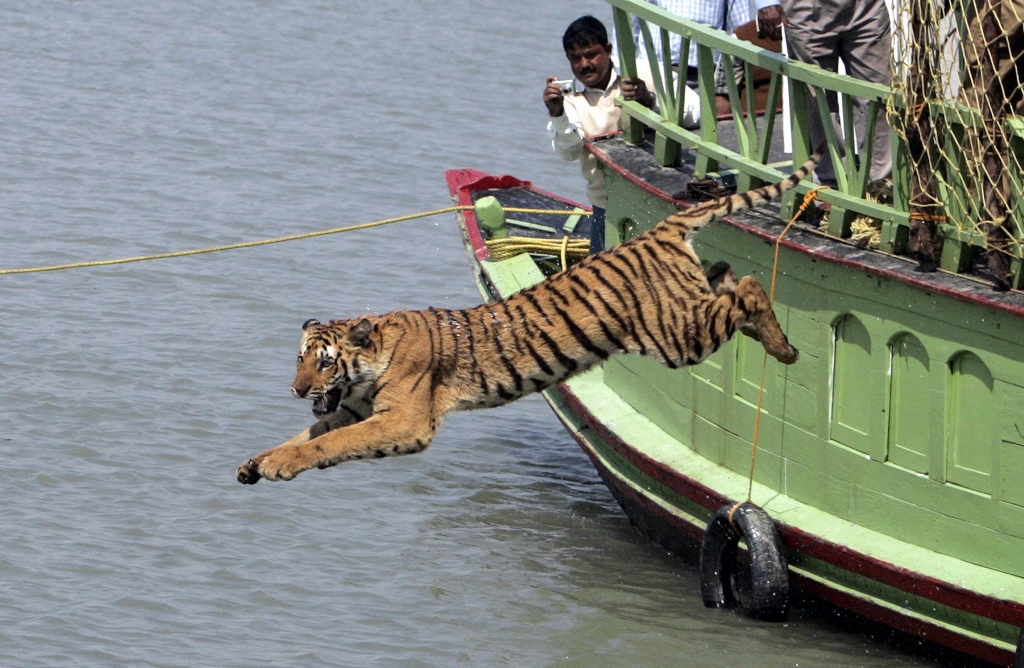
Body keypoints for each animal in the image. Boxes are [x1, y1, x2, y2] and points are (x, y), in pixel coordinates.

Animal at [235, 153, 819, 483]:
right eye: (299, 360)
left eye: (324, 363)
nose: (295, 388)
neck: (369, 361)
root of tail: (659, 229)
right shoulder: (354, 410)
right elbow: (306, 434)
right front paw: (256, 462)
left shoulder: (403, 421)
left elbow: (328, 443)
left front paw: (278, 465)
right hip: (685, 313)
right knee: (726, 276)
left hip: (677, 336)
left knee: (748, 286)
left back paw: (787, 349)